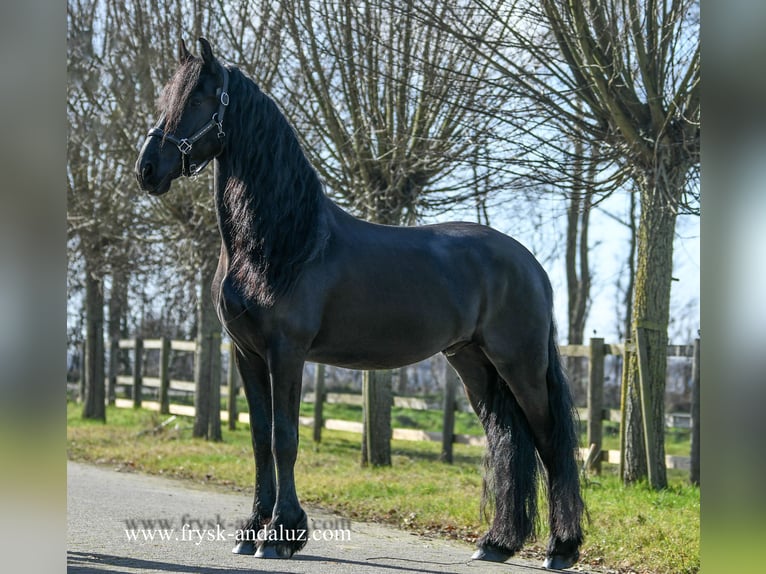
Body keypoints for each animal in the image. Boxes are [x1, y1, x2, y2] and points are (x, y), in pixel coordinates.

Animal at [135, 39, 584, 572]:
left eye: (199, 98)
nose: (146, 169)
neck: (284, 242)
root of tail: (530, 263)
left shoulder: (286, 352)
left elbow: (284, 439)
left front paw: (282, 534)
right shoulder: (247, 355)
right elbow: (259, 439)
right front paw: (252, 529)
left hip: (520, 362)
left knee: (549, 439)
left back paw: (561, 549)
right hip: (473, 361)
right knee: (506, 438)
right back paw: (497, 542)